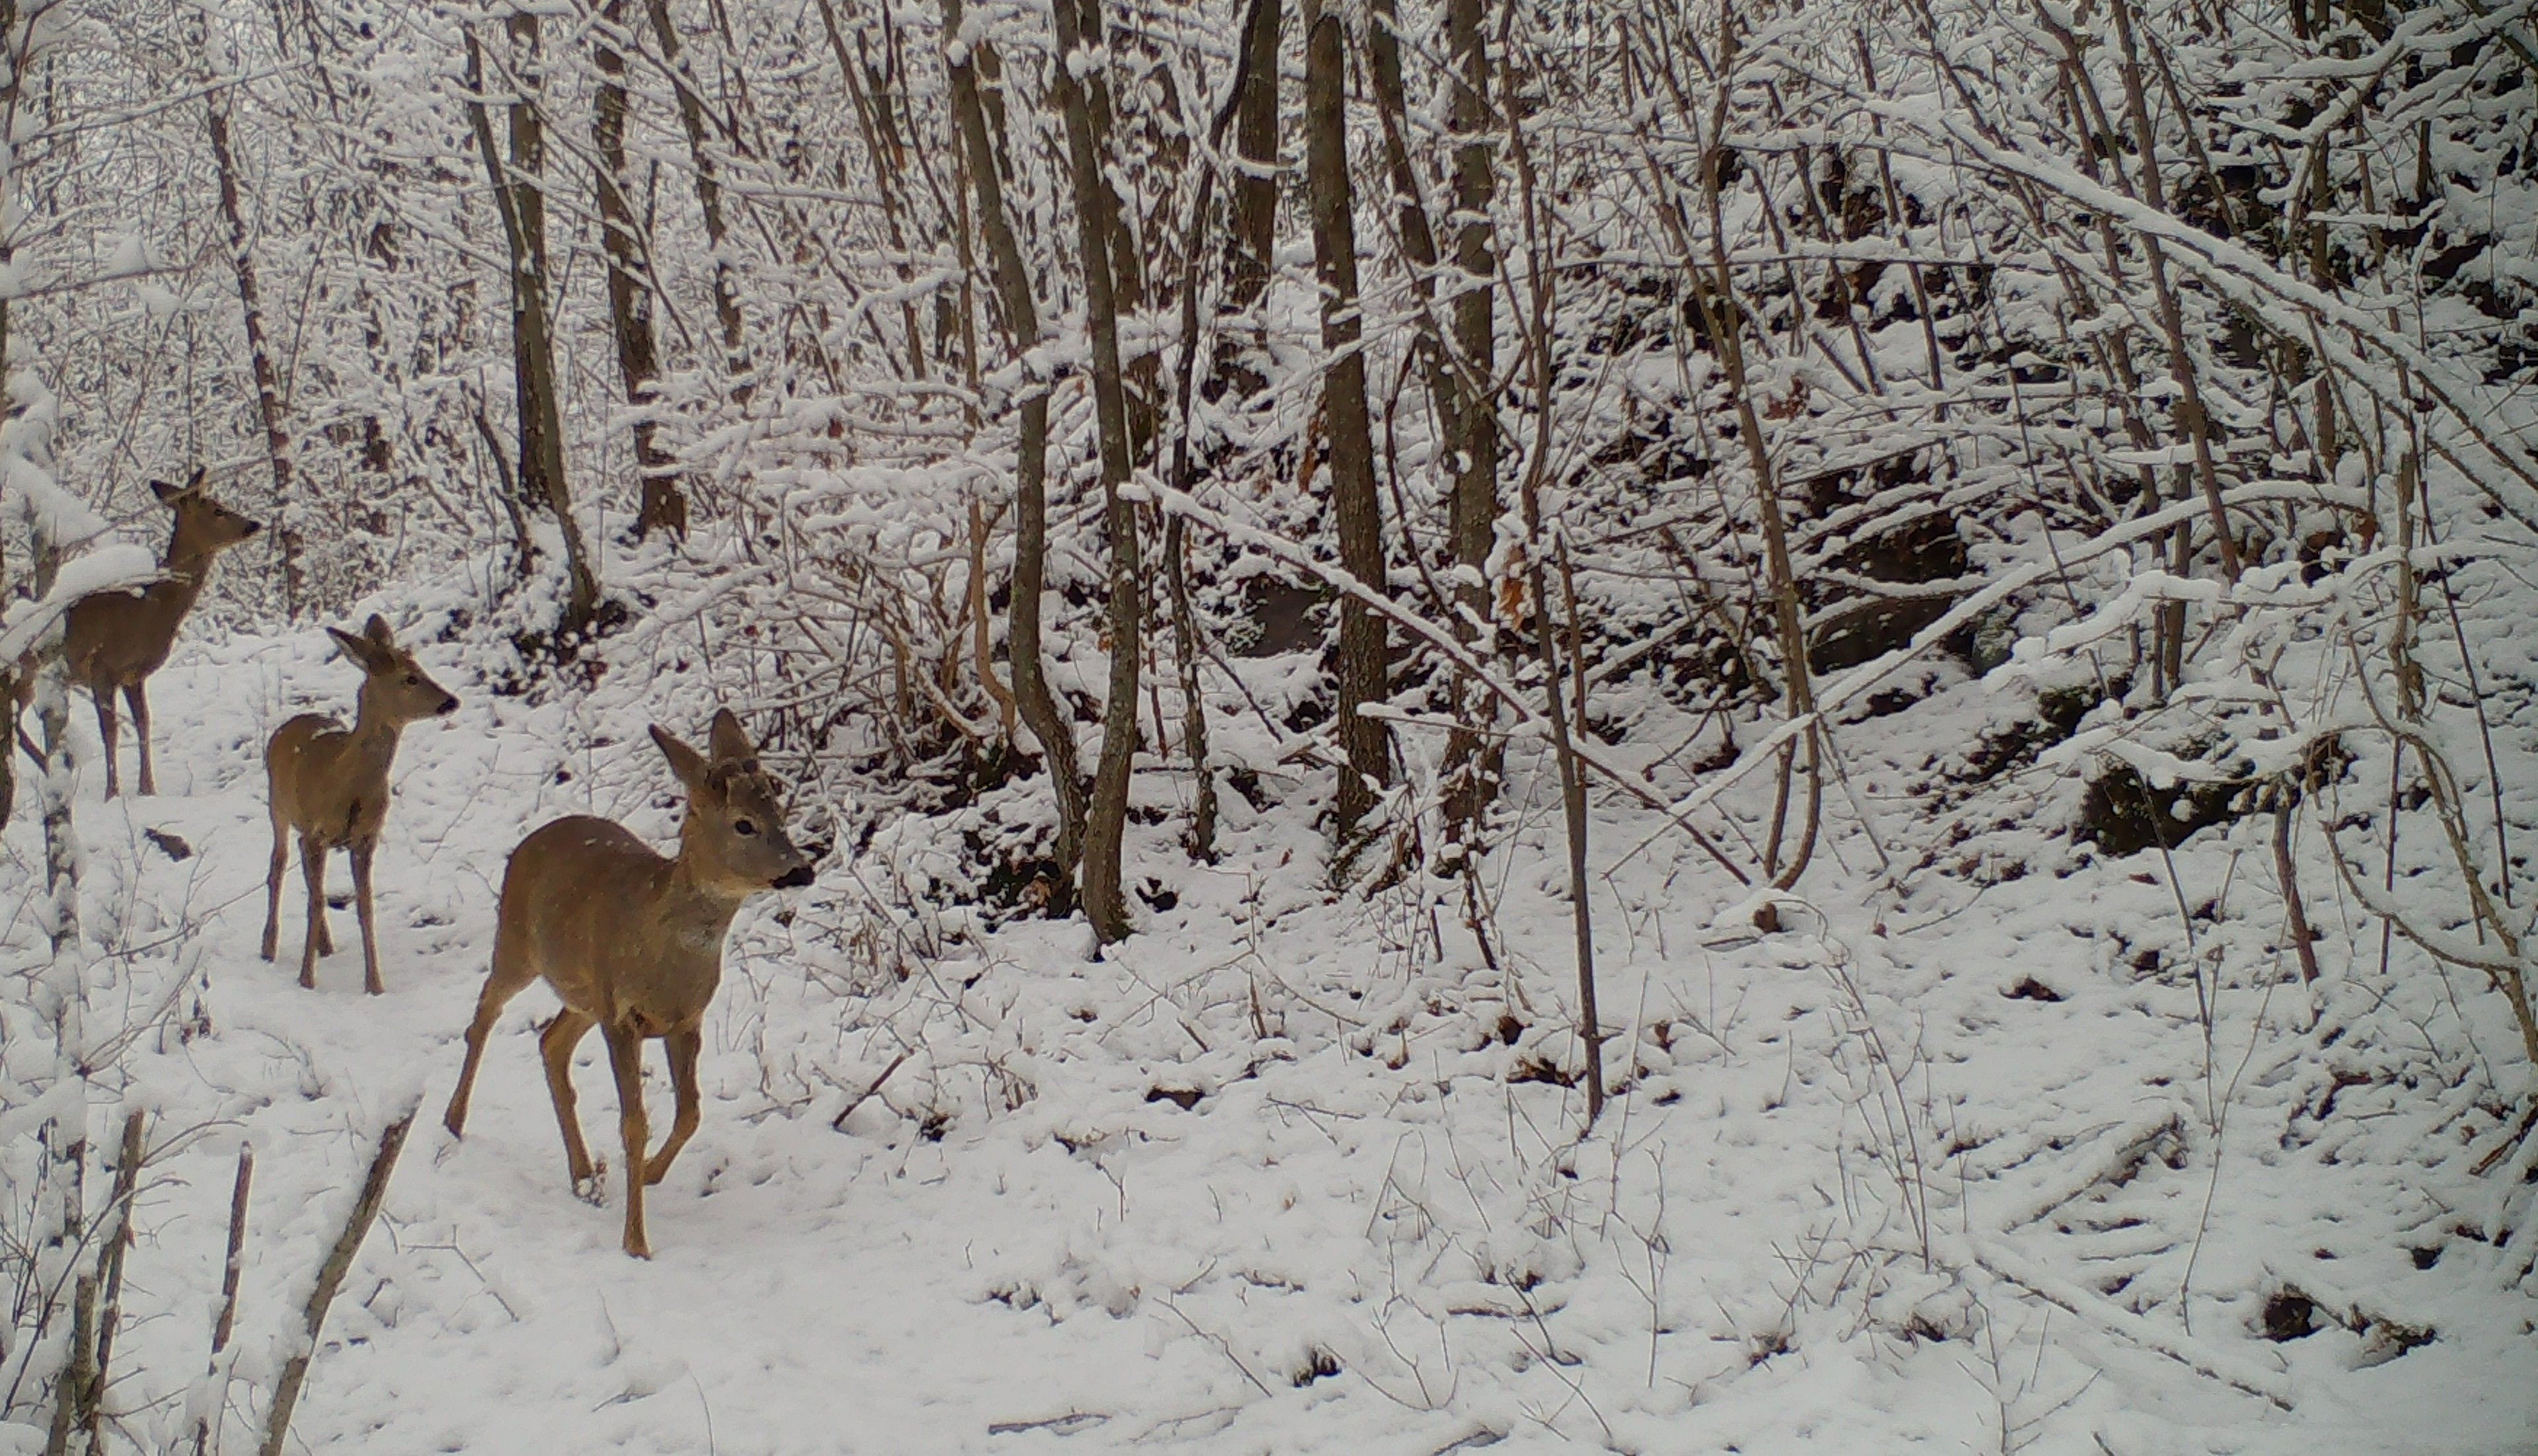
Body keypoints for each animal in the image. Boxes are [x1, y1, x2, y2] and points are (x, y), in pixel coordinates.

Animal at [23, 470, 262, 797]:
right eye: (217, 510)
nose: (254, 525)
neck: (147, 614)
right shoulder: (101, 669)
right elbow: (110, 731)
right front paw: (112, 793)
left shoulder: (133, 676)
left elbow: (143, 722)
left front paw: (147, 788)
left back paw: (51, 766)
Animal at [261, 615, 460, 995]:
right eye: (410, 678)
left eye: (421, 669)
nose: (451, 701)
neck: (349, 782)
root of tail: (287, 726)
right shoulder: (318, 831)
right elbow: (315, 900)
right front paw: (306, 980)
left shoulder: (366, 837)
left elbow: (365, 904)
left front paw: (375, 985)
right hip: (277, 807)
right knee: (278, 866)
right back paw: (269, 948)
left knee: (307, 878)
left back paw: (324, 946)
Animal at [442, 709, 815, 1258]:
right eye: (744, 823)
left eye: (780, 808)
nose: (801, 870)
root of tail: (532, 839)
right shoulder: (622, 1016)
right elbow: (634, 1123)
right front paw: (636, 1241)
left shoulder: (685, 1020)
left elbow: (691, 1111)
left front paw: (651, 1174)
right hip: (517, 943)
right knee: (486, 1011)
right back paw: (453, 1122)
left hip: (584, 993)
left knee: (550, 1042)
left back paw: (582, 1174)